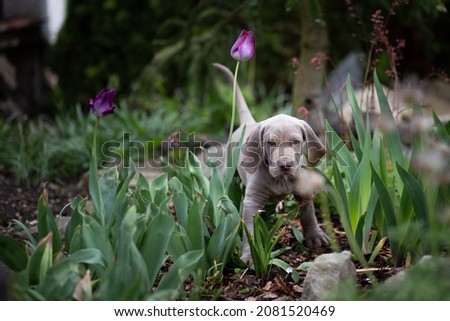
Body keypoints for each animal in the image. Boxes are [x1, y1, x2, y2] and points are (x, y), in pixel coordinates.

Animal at [213, 62, 328, 262]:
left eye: (296, 141)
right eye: (271, 143)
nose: (285, 165)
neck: (281, 179)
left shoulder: (304, 192)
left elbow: (309, 215)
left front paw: (315, 236)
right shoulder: (251, 203)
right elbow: (250, 232)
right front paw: (250, 255)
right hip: (229, 169)